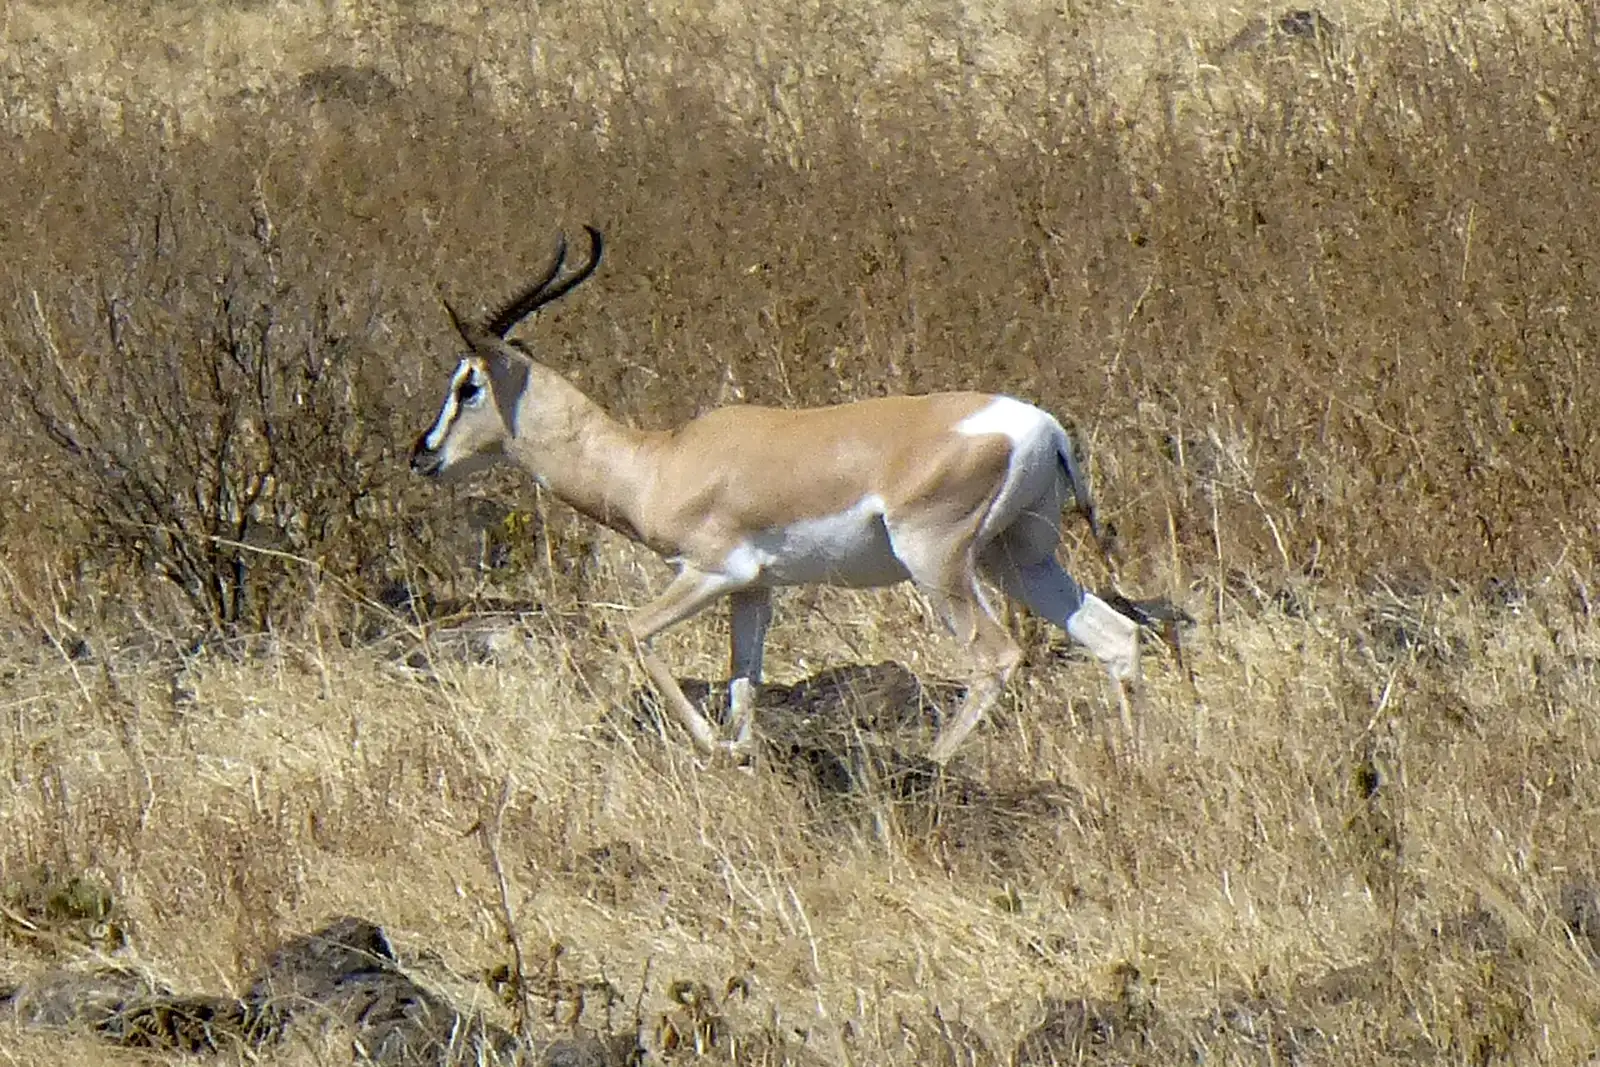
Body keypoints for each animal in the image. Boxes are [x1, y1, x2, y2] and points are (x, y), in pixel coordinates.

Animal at [410, 226, 1142, 764]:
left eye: (467, 385)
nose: (423, 454)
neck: (659, 460)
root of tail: (1045, 427)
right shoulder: (756, 589)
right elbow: (744, 681)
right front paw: (737, 753)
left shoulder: (712, 572)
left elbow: (634, 633)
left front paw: (713, 748)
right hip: (1016, 556)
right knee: (1116, 635)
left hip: (938, 563)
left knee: (997, 656)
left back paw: (932, 764)